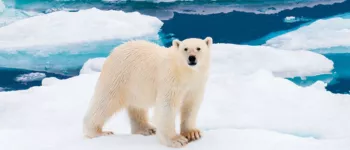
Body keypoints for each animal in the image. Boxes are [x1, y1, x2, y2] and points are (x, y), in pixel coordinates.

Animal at [83, 37, 212, 147]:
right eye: (185, 49)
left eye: (198, 48)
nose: (192, 58)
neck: (185, 73)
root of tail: (114, 51)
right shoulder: (170, 80)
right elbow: (167, 107)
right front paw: (176, 140)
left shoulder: (195, 85)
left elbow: (191, 105)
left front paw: (192, 133)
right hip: (118, 77)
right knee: (105, 102)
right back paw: (97, 132)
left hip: (135, 86)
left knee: (137, 106)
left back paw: (147, 128)